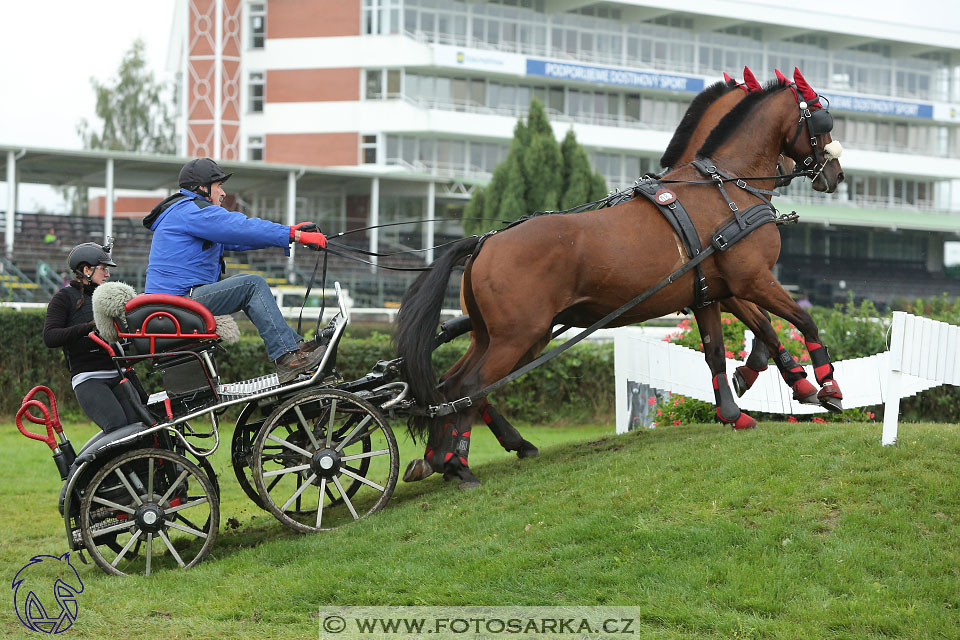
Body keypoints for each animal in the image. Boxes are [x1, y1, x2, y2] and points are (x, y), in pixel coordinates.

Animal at [396, 67, 840, 488]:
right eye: (821, 121)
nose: (834, 174)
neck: (724, 186)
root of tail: (485, 242)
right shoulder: (751, 281)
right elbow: (799, 320)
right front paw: (825, 386)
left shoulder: (710, 293)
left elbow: (727, 346)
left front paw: (742, 406)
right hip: (518, 337)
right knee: (469, 389)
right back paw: (458, 465)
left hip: (502, 337)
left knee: (452, 387)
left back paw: (449, 456)